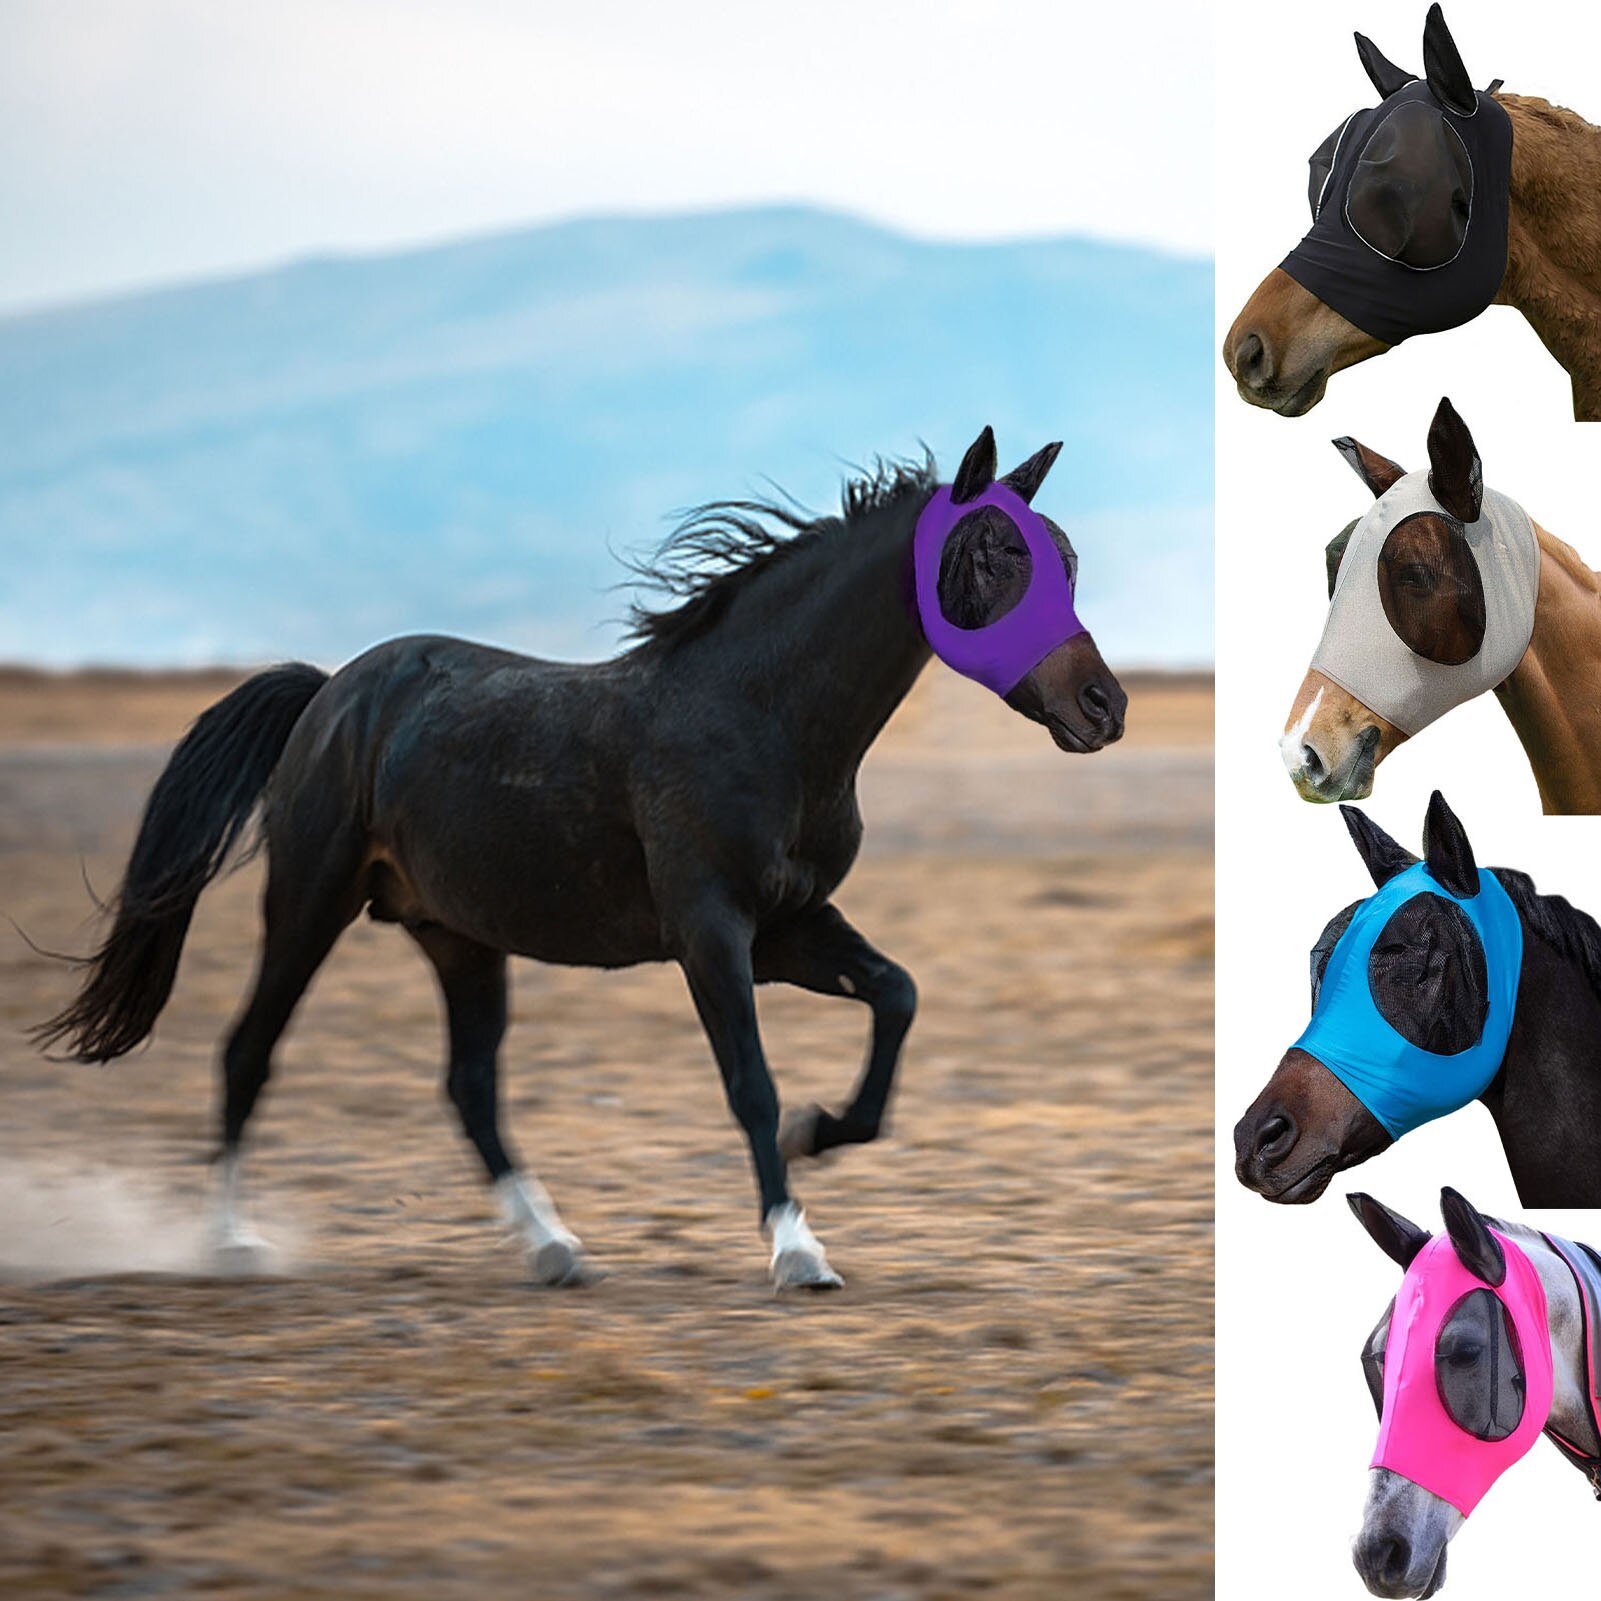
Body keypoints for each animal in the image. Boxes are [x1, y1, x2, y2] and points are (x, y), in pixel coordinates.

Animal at [35, 426, 1127, 1289]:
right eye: (995, 553)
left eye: (1065, 558)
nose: (1102, 706)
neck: (762, 718)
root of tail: (329, 695)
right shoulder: (709, 930)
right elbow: (750, 1081)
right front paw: (796, 1249)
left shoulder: (787, 925)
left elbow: (895, 994)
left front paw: (821, 1131)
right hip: (309, 900)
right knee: (248, 1051)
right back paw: (234, 1244)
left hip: (457, 934)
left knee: (469, 1086)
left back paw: (555, 1248)